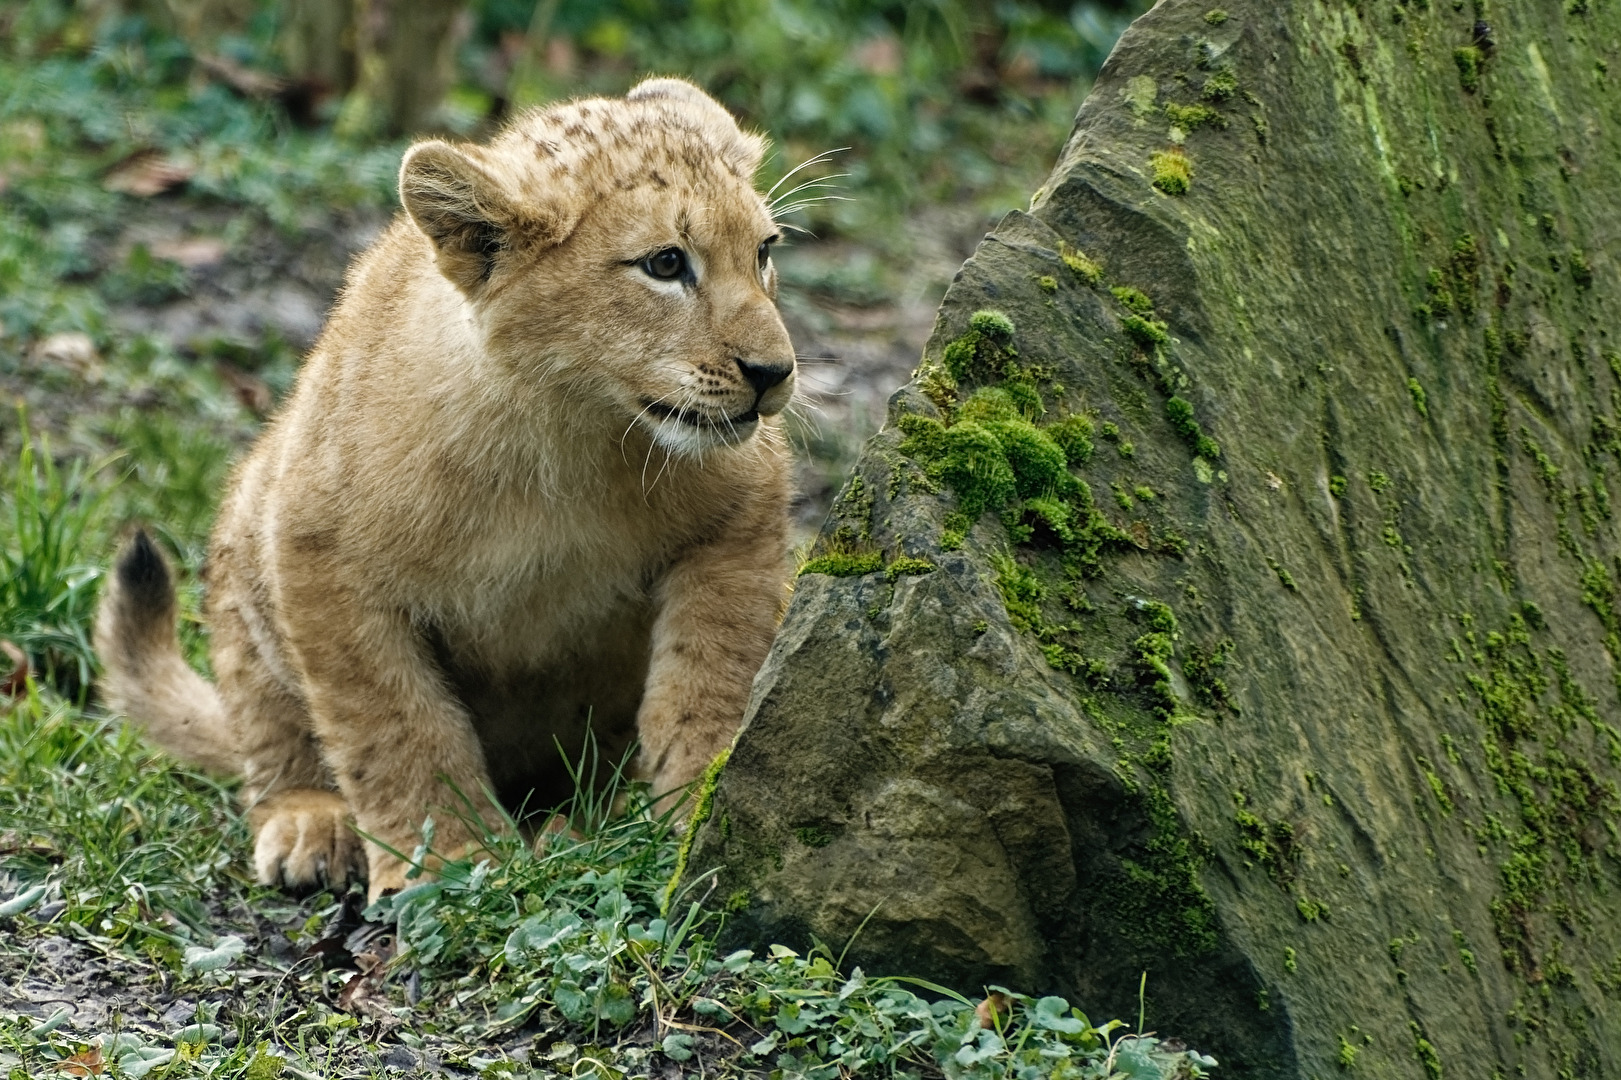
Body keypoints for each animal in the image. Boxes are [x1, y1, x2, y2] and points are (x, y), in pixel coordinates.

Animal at [95, 78, 796, 899]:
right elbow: (396, 727)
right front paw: (448, 861)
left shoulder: (739, 517)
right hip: (244, 563)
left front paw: (694, 811)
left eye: (764, 251)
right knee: (267, 745)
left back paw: (589, 822)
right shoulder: (319, 556)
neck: (570, 435)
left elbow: (710, 678)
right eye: (664, 263)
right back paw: (310, 823)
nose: (774, 373)